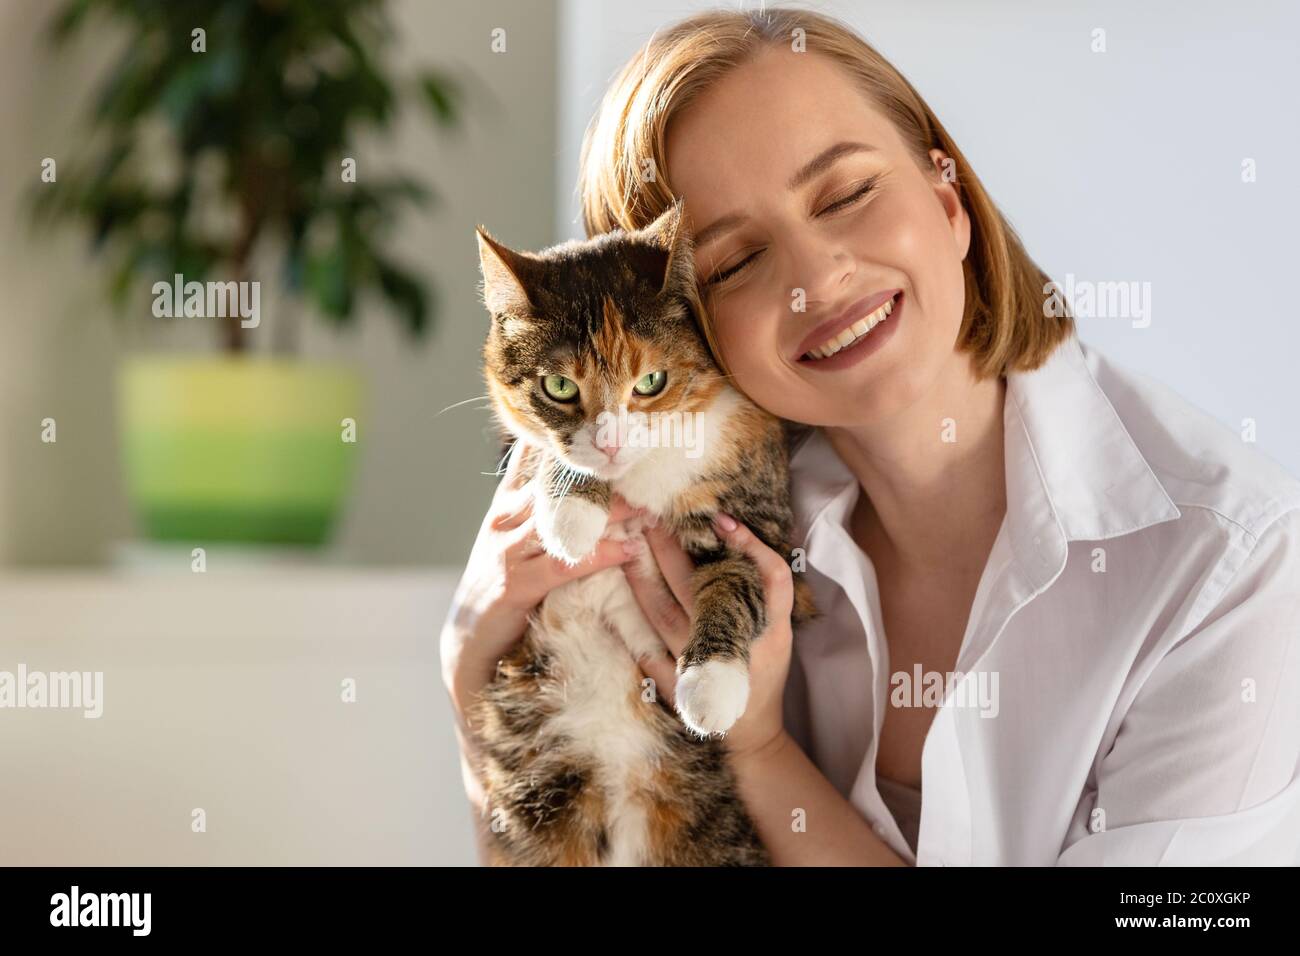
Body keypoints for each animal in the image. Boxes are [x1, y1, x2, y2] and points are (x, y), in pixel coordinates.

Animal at [467, 200, 811, 868]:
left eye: (650, 382)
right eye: (560, 387)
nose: (611, 443)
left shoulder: (762, 523)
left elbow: (737, 580)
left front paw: (710, 686)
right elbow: (544, 449)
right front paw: (573, 513)